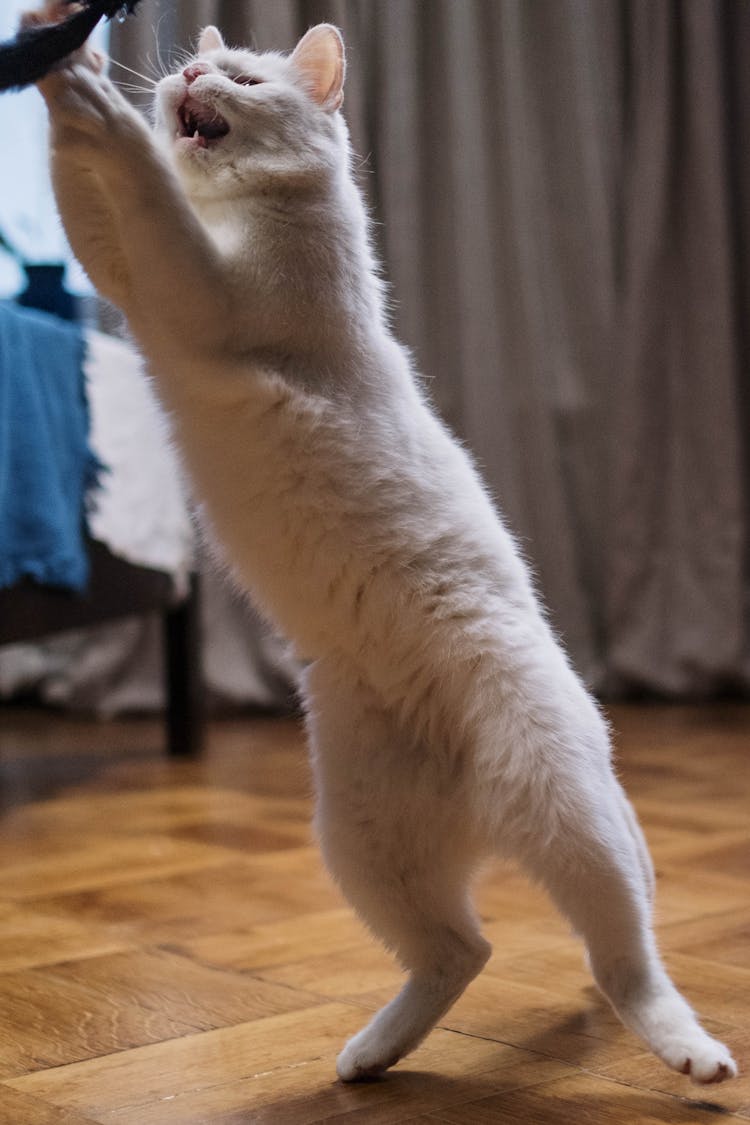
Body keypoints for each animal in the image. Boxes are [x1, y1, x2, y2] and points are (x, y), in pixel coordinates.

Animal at [26, 4, 737, 1084]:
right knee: (464, 948)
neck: (239, 212)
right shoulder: (130, 277)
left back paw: (689, 1050)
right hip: (363, 841)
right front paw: (61, 59)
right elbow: (88, 196)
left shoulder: (201, 293)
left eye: (241, 77)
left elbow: (141, 189)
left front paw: (93, 91)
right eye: (200, 66)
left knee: (625, 955)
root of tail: (478, 806)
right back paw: (370, 1054)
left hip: (565, 809)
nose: (184, 74)